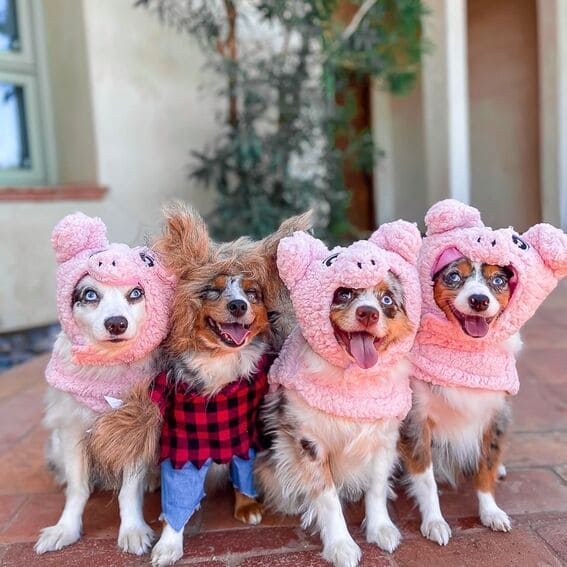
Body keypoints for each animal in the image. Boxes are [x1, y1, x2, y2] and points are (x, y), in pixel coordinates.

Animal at [35, 213, 175, 556]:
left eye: (136, 293)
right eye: (89, 295)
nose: (116, 323)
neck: (106, 373)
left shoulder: (137, 424)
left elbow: (128, 490)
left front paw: (133, 530)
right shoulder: (71, 427)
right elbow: (78, 488)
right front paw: (65, 528)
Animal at [86, 205, 312, 567]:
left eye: (252, 293)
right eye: (212, 291)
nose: (238, 305)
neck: (219, 361)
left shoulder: (242, 436)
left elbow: (242, 471)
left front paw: (247, 506)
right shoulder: (183, 447)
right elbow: (177, 496)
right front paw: (168, 543)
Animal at [256, 223, 422, 567]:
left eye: (387, 299)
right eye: (343, 293)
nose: (368, 313)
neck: (354, 385)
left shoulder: (384, 437)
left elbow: (375, 486)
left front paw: (380, 529)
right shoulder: (310, 442)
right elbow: (327, 496)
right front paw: (340, 545)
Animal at [400, 200, 567, 544]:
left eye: (498, 281)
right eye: (453, 277)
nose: (479, 300)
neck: (467, 357)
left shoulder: (495, 413)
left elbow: (485, 467)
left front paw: (491, 511)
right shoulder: (417, 418)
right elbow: (426, 478)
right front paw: (434, 521)